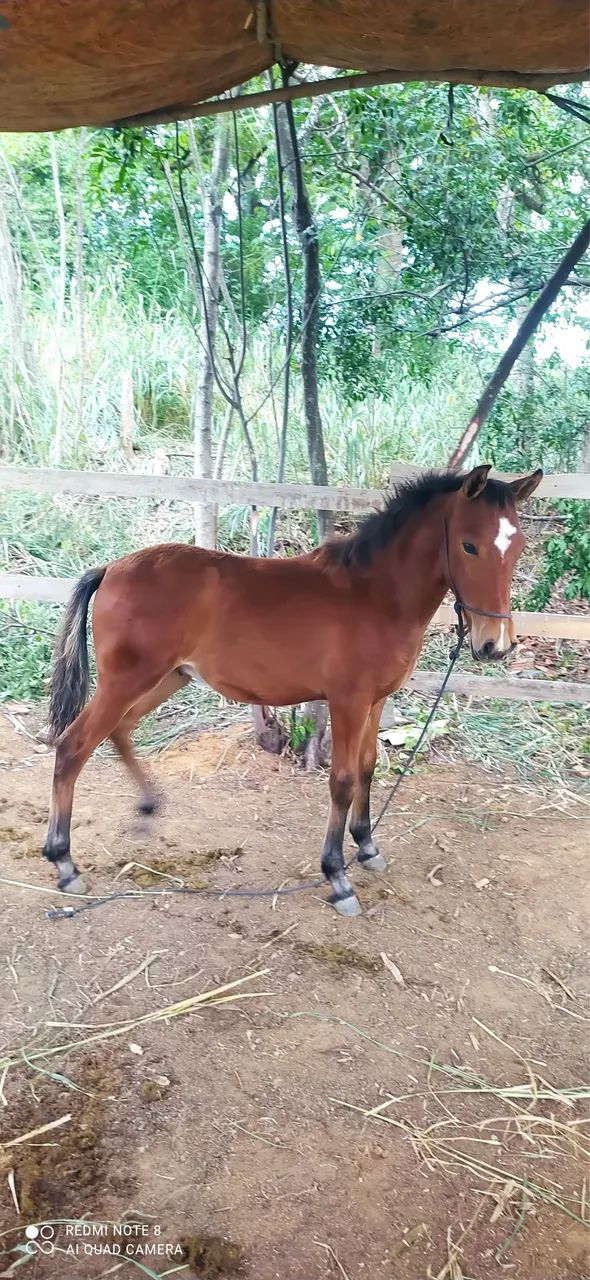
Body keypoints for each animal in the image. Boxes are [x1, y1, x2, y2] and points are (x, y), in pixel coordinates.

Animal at [42, 463, 542, 915]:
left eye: (517, 545)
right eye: (469, 545)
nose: (494, 645)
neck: (376, 594)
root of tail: (111, 568)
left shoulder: (377, 700)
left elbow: (368, 768)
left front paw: (367, 847)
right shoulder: (347, 701)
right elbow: (342, 780)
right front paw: (337, 877)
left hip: (166, 678)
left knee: (119, 731)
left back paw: (147, 806)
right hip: (127, 680)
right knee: (73, 746)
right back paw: (65, 863)